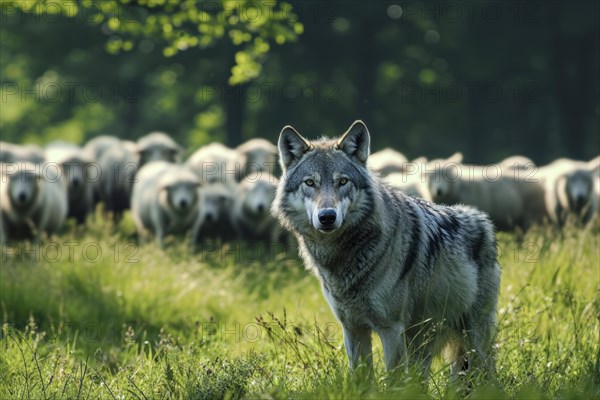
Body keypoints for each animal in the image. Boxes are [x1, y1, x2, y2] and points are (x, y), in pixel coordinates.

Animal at [272, 121, 502, 382]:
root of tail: (484, 222)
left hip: (473, 341)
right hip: (424, 343)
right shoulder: (353, 329)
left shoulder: (390, 329)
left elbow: (392, 380)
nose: (327, 216)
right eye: (310, 183)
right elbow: (362, 380)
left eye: (343, 182)